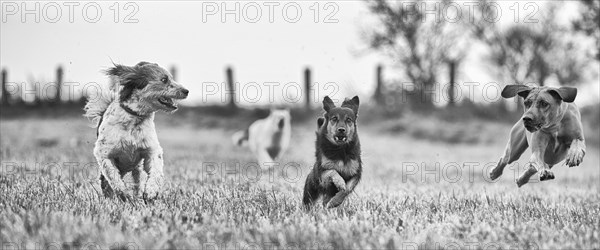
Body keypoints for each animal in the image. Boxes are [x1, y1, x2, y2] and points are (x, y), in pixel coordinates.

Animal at [84, 61, 188, 200]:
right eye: (164, 79)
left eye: (171, 77)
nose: (186, 91)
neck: (134, 118)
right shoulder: (103, 153)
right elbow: (113, 176)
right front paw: (123, 193)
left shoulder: (151, 149)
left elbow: (156, 170)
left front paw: (151, 191)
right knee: (107, 182)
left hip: (136, 168)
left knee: (137, 180)